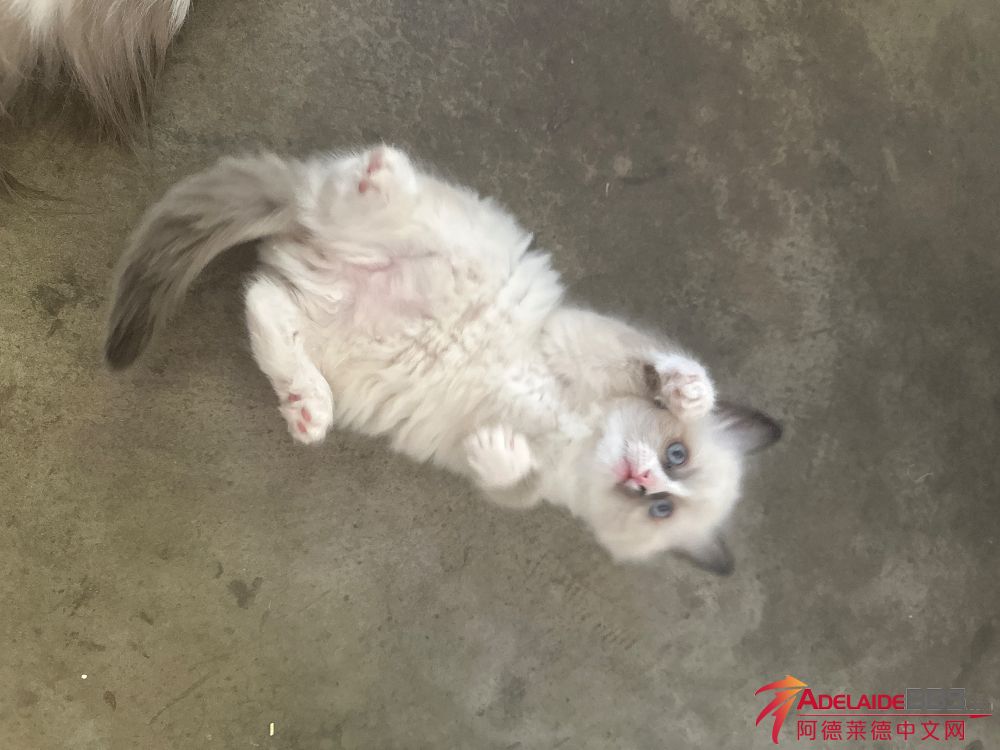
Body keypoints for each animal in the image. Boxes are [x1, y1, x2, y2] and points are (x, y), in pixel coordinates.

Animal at [105, 146, 782, 574]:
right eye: (676, 456)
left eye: (661, 507)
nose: (641, 479)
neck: (581, 433)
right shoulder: (576, 336)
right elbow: (640, 358)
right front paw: (686, 389)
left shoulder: (533, 491)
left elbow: (510, 480)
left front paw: (500, 450)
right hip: (439, 235)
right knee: (334, 199)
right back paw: (380, 178)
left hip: (325, 334)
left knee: (265, 301)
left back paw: (307, 407)